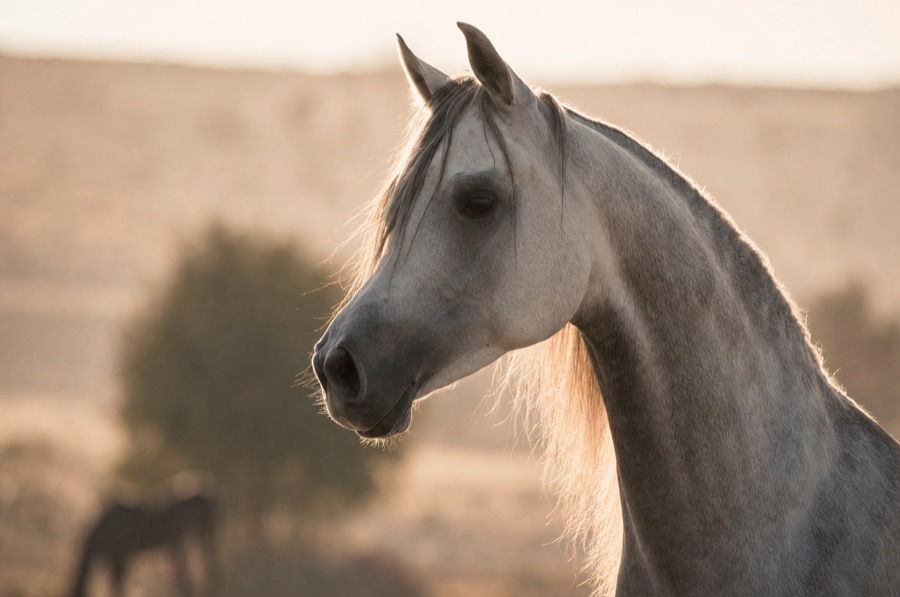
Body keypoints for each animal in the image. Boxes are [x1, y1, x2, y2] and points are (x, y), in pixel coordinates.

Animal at [68, 484, 220, 596]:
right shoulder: (115, 559)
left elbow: (118, 583)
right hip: (197, 534)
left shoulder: (121, 557)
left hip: (197, 535)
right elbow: (116, 583)